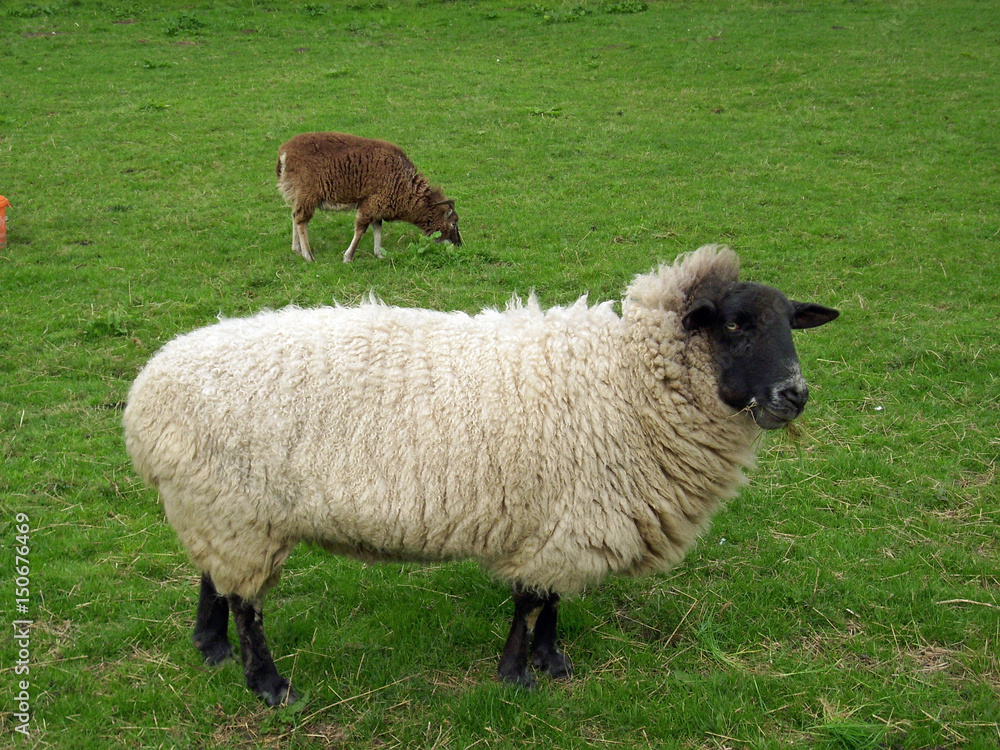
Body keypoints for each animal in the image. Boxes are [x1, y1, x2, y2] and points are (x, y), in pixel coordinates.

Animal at [123, 245, 838, 706]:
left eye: (791, 324)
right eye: (736, 325)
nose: (794, 394)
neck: (627, 379)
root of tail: (146, 392)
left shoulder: (568, 520)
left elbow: (551, 600)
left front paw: (553, 663)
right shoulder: (561, 519)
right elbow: (531, 601)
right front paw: (517, 677)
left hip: (218, 507)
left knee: (214, 578)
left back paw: (211, 648)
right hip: (238, 510)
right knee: (248, 605)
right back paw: (270, 686)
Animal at [276, 131, 462, 262]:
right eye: (453, 223)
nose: (459, 244)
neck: (402, 182)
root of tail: (284, 154)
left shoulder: (378, 205)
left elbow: (377, 227)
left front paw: (379, 253)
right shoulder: (373, 202)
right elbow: (361, 229)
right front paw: (348, 257)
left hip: (297, 194)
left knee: (294, 216)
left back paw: (297, 249)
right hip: (307, 194)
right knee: (301, 220)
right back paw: (308, 255)